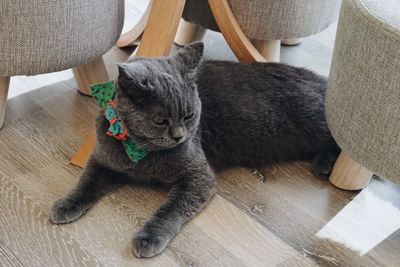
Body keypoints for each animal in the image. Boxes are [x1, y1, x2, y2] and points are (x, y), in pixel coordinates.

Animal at [49, 43, 338, 258]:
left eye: (188, 115)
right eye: (159, 120)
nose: (179, 136)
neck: (142, 154)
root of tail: (323, 81)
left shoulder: (199, 175)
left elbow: (172, 209)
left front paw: (149, 237)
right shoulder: (102, 160)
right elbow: (85, 182)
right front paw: (66, 204)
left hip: (313, 120)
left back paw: (325, 165)